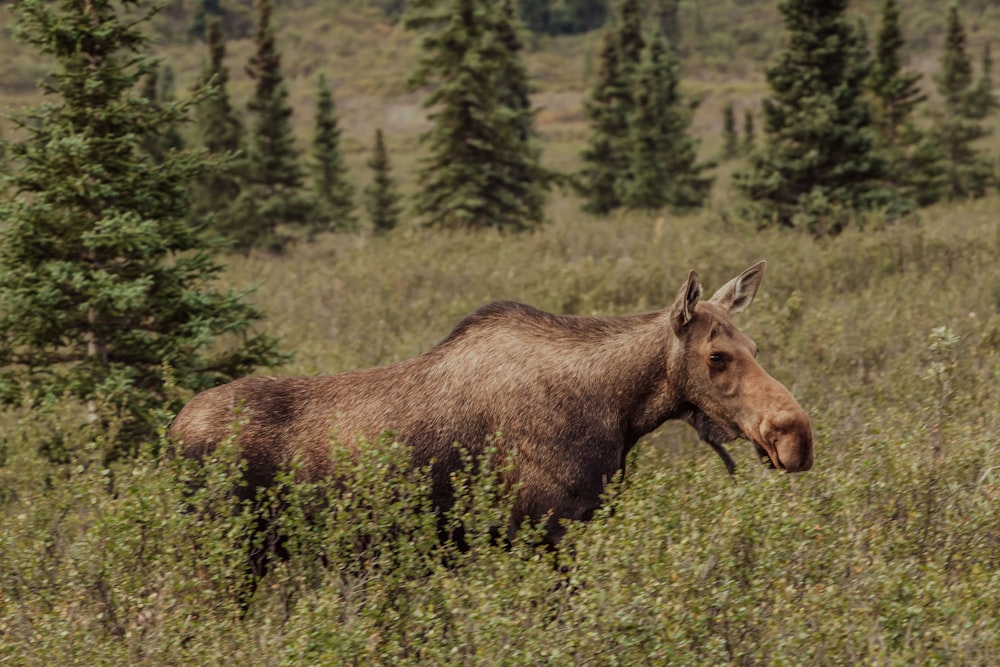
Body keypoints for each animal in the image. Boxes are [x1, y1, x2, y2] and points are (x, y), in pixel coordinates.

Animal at [172, 258, 812, 544]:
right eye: (716, 356)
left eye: (754, 346)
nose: (795, 435)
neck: (620, 414)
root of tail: (171, 434)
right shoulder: (542, 530)